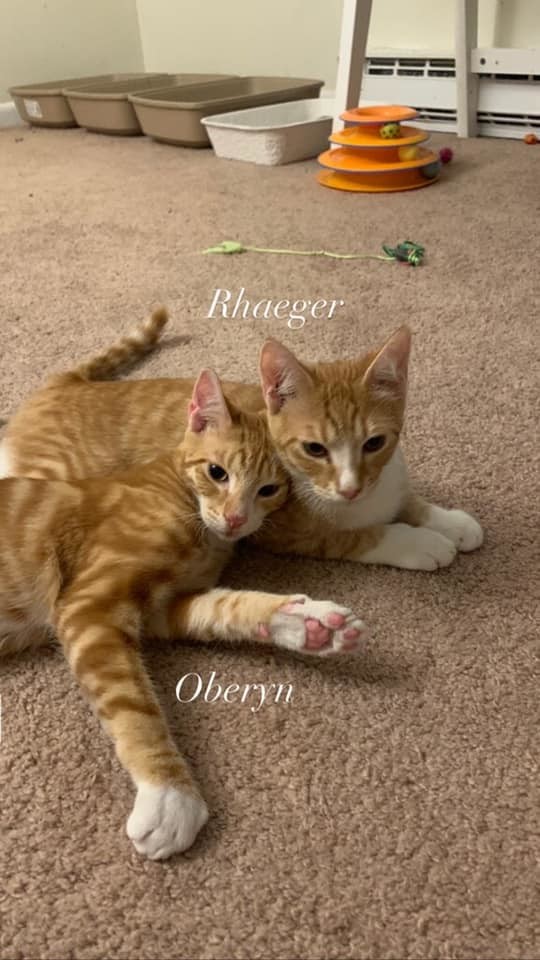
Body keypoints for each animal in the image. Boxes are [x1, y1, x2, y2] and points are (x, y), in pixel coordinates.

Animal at [0, 310, 480, 568]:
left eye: (374, 444)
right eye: (315, 449)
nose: (350, 488)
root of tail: (64, 382)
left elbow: (410, 500)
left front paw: (449, 521)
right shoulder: (282, 532)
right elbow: (357, 536)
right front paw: (416, 542)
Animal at [0, 372, 364, 860]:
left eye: (268, 490)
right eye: (217, 473)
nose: (235, 519)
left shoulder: (167, 608)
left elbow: (230, 607)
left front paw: (306, 624)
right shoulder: (90, 605)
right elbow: (136, 709)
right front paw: (169, 795)